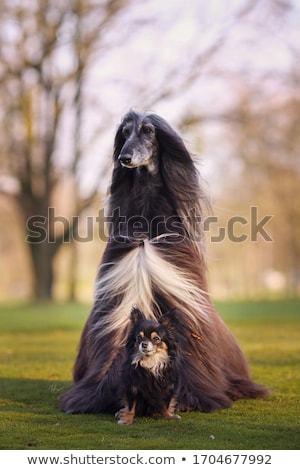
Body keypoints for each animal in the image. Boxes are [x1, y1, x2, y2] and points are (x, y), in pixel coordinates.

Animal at [59, 108, 270, 414]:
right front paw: (98, 396)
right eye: (124, 133)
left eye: (148, 131)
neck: (147, 221)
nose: (124, 158)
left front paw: (191, 397)